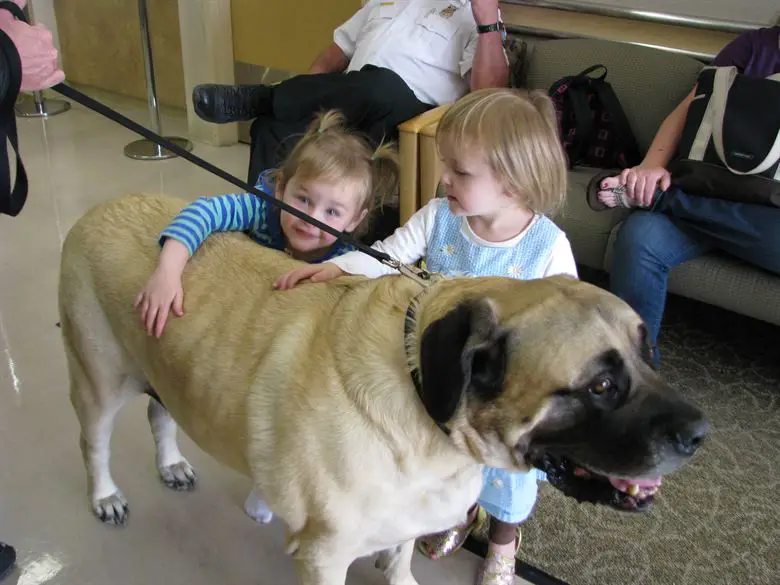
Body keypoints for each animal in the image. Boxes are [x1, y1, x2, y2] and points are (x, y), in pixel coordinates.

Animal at [59, 195, 708, 584]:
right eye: (601, 384)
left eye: (648, 351)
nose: (700, 433)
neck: (429, 411)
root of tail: (98, 207)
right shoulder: (324, 556)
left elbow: (398, 562)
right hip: (97, 379)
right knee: (93, 443)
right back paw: (105, 495)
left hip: (162, 366)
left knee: (161, 414)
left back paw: (171, 462)